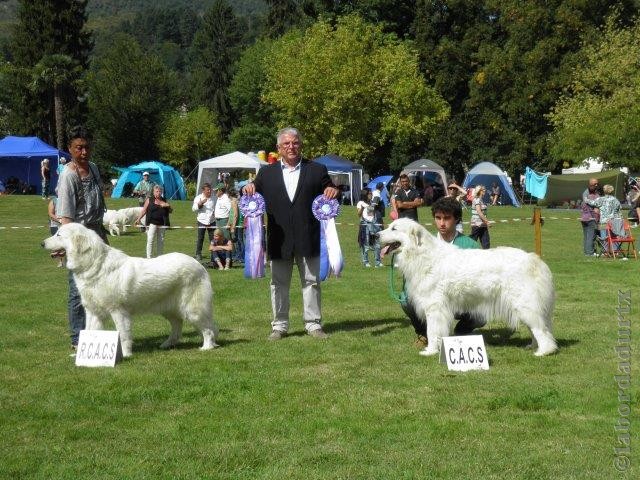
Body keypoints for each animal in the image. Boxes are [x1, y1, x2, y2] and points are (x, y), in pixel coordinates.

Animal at [42, 222, 219, 356]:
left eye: (59, 235)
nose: (42, 243)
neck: (93, 264)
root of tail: (199, 265)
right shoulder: (93, 312)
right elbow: (90, 331)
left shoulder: (118, 311)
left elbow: (123, 334)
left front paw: (126, 355)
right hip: (169, 309)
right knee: (177, 325)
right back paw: (167, 344)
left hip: (192, 309)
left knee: (208, 328)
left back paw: (207, 347)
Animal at [378, 218, 556, 356]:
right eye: (389, 226)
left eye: (394, 228)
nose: (375, 235)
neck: (421, 253)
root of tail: (533, 259)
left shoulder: (434, 307)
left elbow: (432, 330)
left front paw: (430, 351)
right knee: (538, 328)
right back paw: (533, 346)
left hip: (525, 305)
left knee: (541, 330)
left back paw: (544, 351)